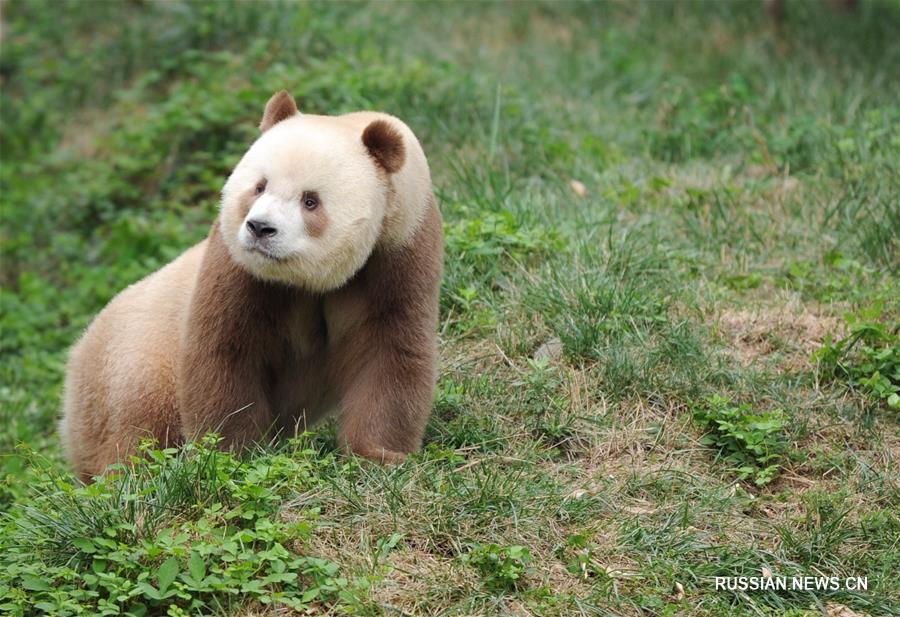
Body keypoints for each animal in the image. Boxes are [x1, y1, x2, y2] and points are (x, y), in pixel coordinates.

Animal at [58, 90, 444, 482]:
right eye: (259, 187)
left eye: (310, 200)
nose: (260, 227)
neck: (308, 280)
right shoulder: (237, 267)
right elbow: (227, 352)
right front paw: (232, 457)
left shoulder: (398, 253)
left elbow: (389, 351)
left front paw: (380, 455)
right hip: (135, 364)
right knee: (138, 429)